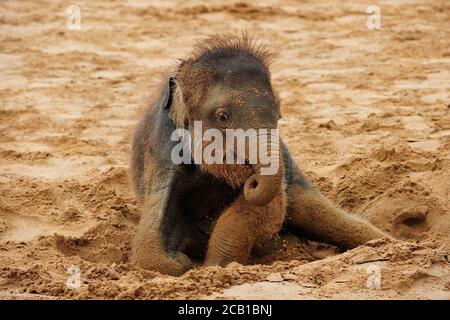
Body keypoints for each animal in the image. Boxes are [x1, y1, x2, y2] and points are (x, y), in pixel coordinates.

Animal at [130, 34, 390, 276]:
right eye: (223, 116)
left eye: (279, 115)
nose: (252, 179)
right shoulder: (164, 149)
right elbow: (149, 251)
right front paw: (182, 262)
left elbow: (267, 209)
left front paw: (212, 265)